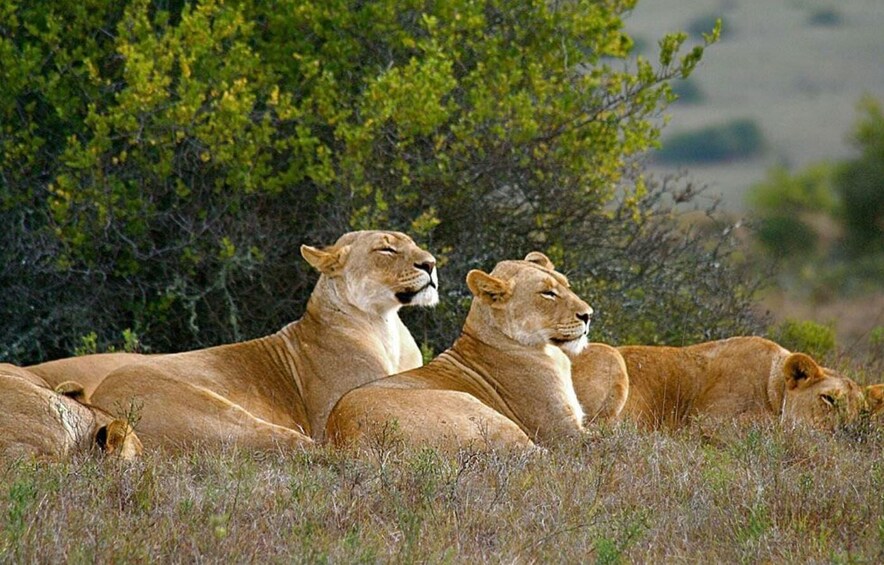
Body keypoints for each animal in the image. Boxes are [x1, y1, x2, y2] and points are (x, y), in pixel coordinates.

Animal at [88, 231, 439, 449]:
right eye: (386, 248)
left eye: (414, 243)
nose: (431, 263)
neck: (384, 323)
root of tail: (96, 402)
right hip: (216, 413)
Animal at [326, 252, 593, 451]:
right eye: (547, 293)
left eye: (567, 285)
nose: (588, 314)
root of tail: (347, 438)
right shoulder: (564, 433)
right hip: (475, 407)